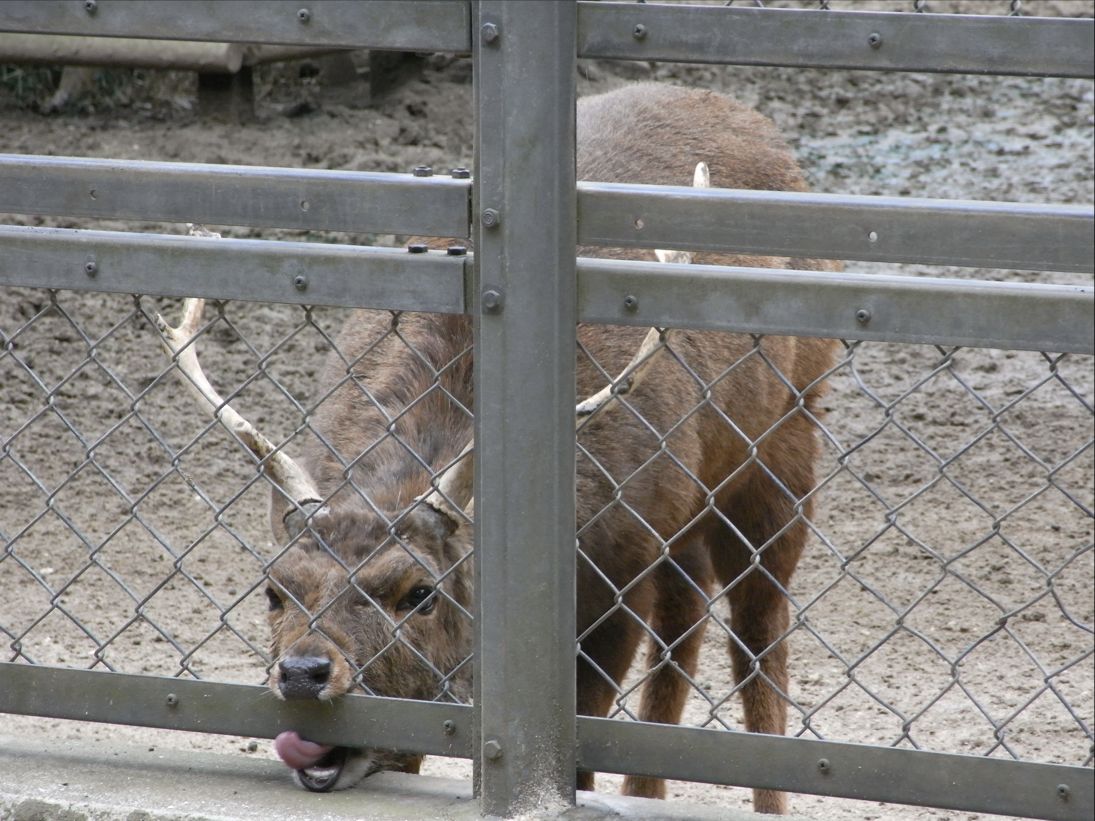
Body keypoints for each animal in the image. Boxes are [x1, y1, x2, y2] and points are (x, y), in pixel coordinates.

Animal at [156, 83, 836, 818]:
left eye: (420, 593)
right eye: (274, 589)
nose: (304, 671)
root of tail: (752, 119)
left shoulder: (618, 577)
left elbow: (582, 749)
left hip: (788, 436)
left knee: (758, 626)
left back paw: (766, 798)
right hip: (688, 500)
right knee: (686, 613)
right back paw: (647, 792)